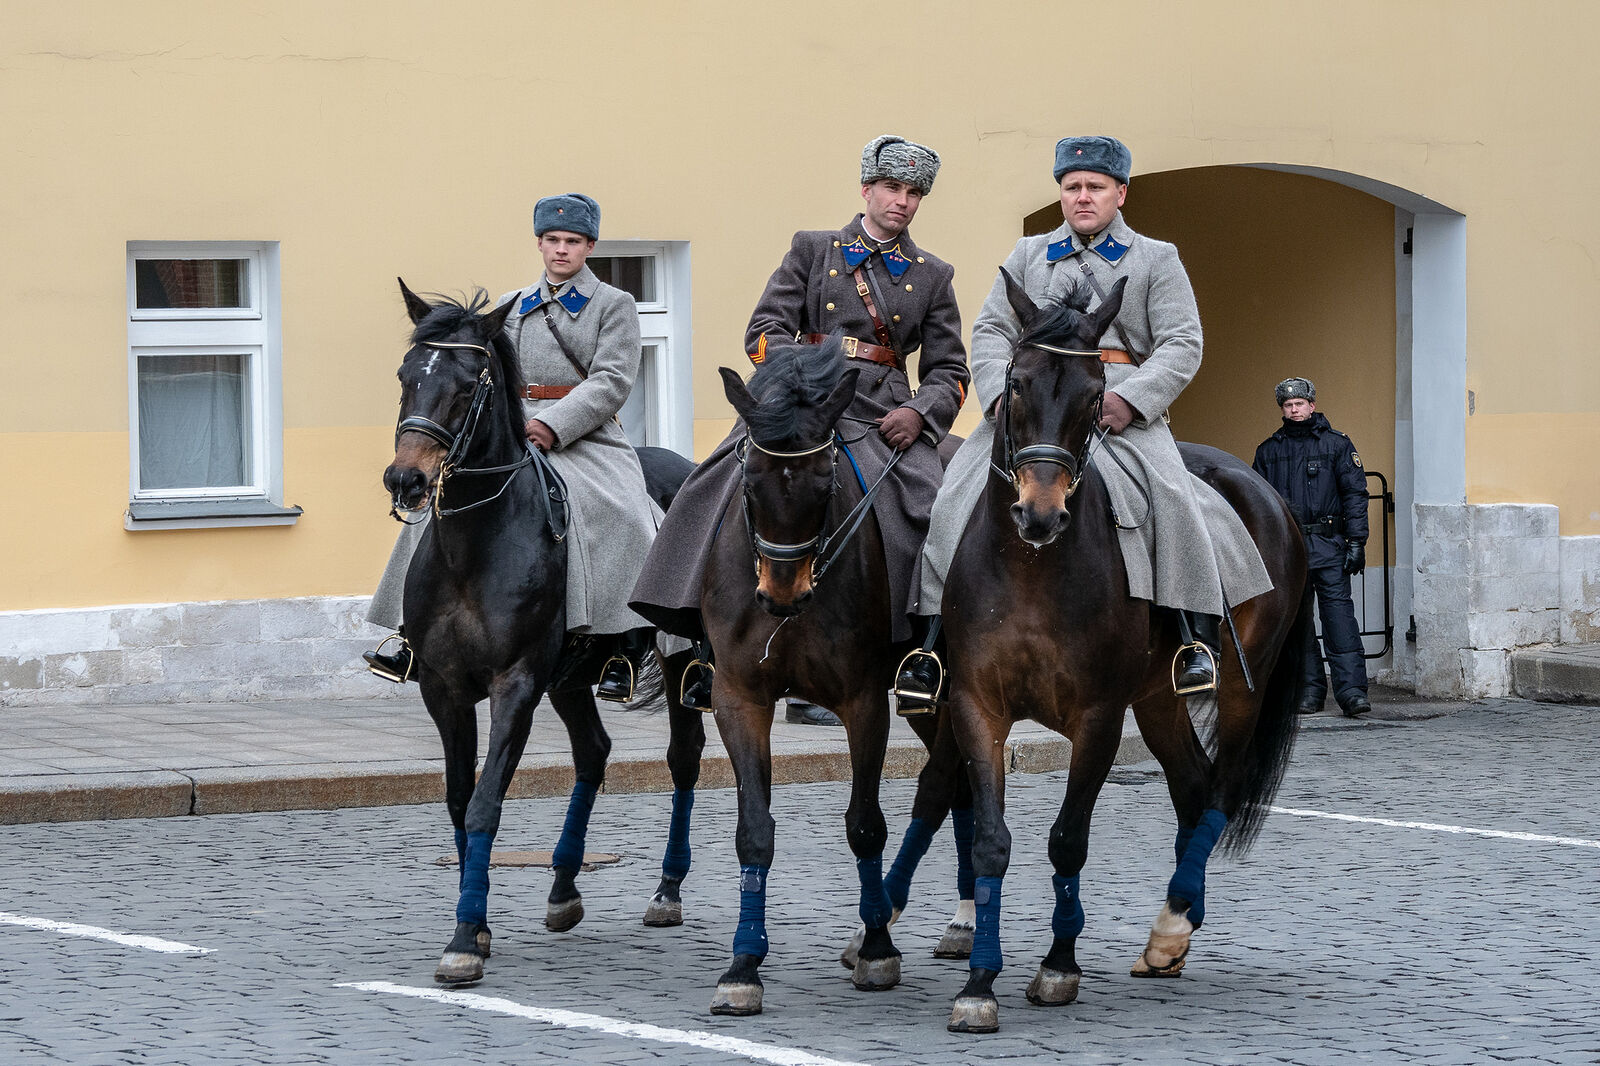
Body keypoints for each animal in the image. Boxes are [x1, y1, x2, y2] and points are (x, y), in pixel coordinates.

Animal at [384, 278, 704, 985]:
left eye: (469, 382)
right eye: (405, 375)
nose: (406, 479)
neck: (474, 546)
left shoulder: (517, 685)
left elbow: (485, 802)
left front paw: (464, 936)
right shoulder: (443, 689)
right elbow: (459, 798)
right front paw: (476, 927)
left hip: (680, 665)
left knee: (684, 757)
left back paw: (668, 890)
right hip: (573, 679)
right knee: (593, 752)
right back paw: (563, 886)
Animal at [934, 272, 1312, 1030]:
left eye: (1094, 394)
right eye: (1016, 383)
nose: (1039, 512)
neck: (1031, 569)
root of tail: (1264, 490)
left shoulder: (1099, 718)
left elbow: (1067, 839)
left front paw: (1058, 968)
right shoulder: (975, 708)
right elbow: (990, 841)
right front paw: (979, 983)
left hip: (1239, 689)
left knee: (1220, 788)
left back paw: (1171, 926)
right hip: (1160, 698)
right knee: (1193, 786)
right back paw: (1177, 928)